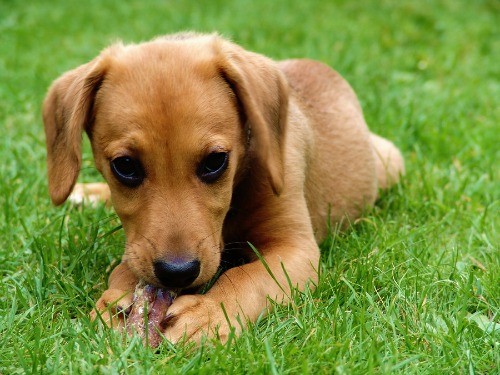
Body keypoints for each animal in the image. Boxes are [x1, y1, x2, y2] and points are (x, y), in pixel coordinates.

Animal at [41, 31, 404, 344]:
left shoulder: (295, 249)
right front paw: (115, 300)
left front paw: (208, 314)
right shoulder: (139, 247)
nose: (177, 273)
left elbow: (247, 277)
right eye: (125, 166)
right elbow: (125, 266)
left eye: (215, 161)